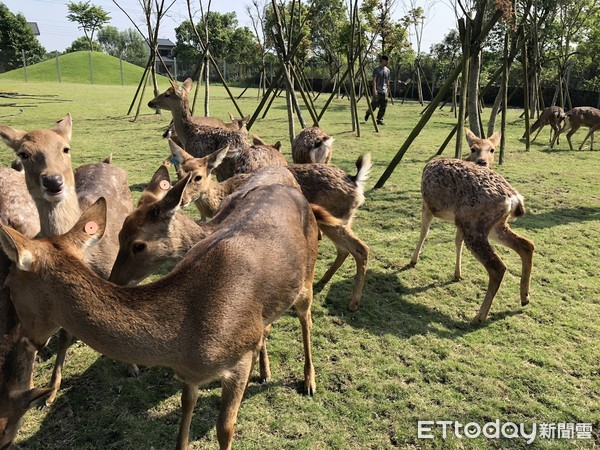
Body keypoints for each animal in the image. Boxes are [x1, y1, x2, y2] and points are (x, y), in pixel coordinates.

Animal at [2, 178, 322, 448]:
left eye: (8, 286)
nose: (26, 340)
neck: (184, 343)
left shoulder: (238, 360)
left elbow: (225, 428)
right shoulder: (190, 375)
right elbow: (185, 414)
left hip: (307, 277)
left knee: (306, 317)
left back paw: (309, 382)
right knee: (267, 326)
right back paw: (266, 371)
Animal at [410, 157, 532, 324]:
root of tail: (514, 199)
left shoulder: (428, 205)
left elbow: (424, 231)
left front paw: (413, 260)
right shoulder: (458, 223)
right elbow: (457, 241)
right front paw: (457, 274)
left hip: (473, 223)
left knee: (498, 267)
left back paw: (479, 317)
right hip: (491, 225)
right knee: (526, 245)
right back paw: (525, 297)